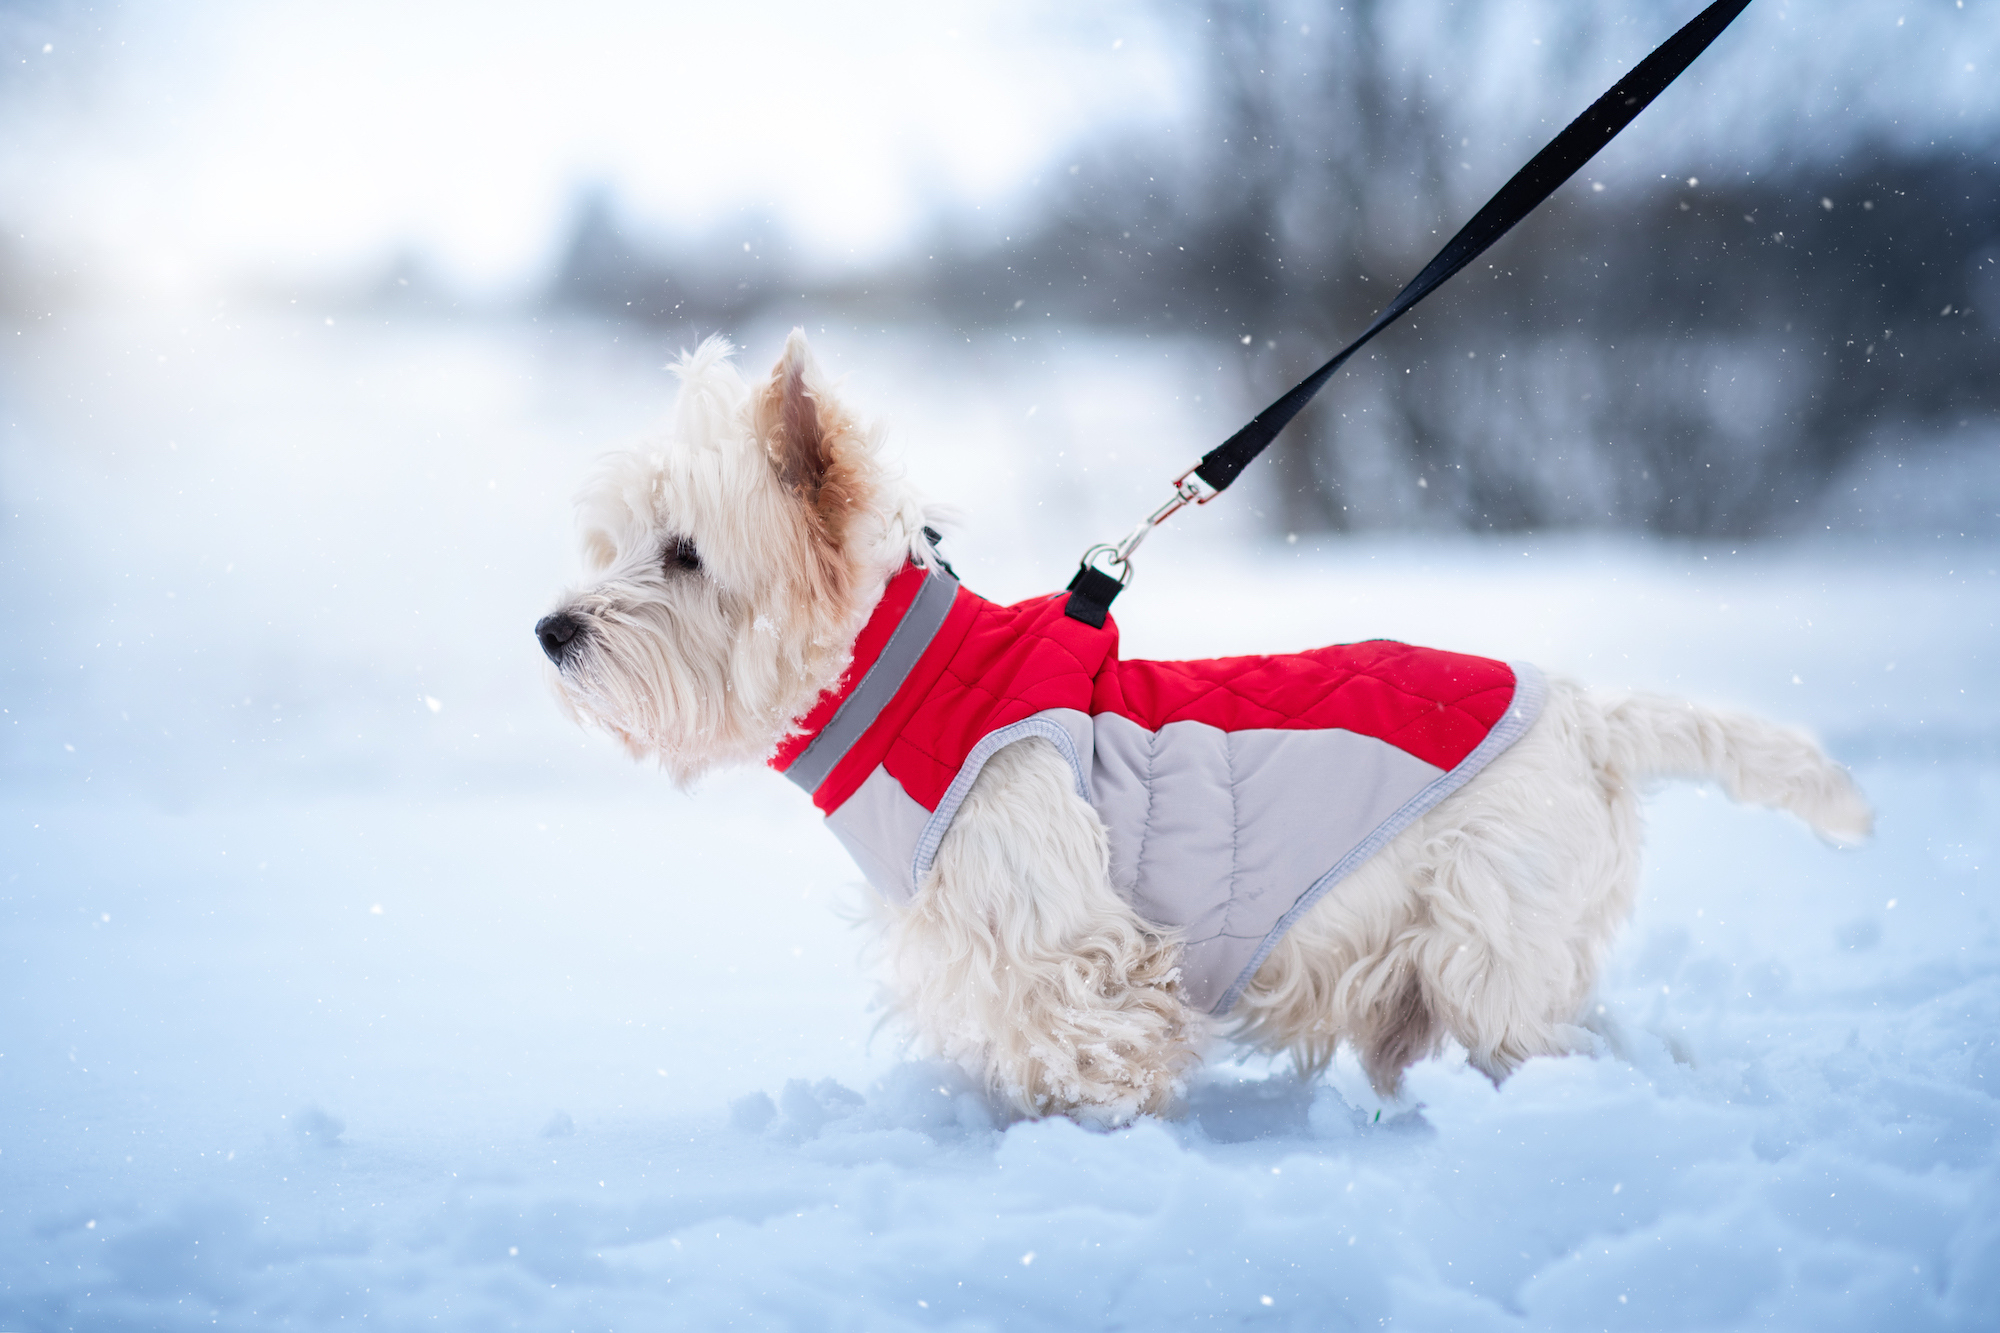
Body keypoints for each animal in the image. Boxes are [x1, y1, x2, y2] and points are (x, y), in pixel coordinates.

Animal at [536, 330, 1872, 1120]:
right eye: (610, 543)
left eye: (685, 554)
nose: (550, 630)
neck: (909, 685)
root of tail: (1589, 716)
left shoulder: (1071, 946)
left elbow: (1097, 1048)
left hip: (1493, 943)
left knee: (1559, 1038)